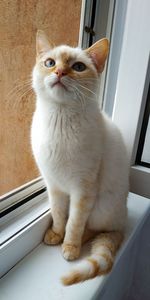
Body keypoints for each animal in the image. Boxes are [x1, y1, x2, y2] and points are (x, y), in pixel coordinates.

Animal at [31, 31, 129, 286]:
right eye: (50, 63)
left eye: (78, 67)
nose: (59, 73)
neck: (60, 119)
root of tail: (124, 220)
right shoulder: (54, 186)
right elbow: (58, 215)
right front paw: (56, 233)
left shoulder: (83, 190)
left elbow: (74, 223)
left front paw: (69, 247)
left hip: (101, 207)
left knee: (96, 230)